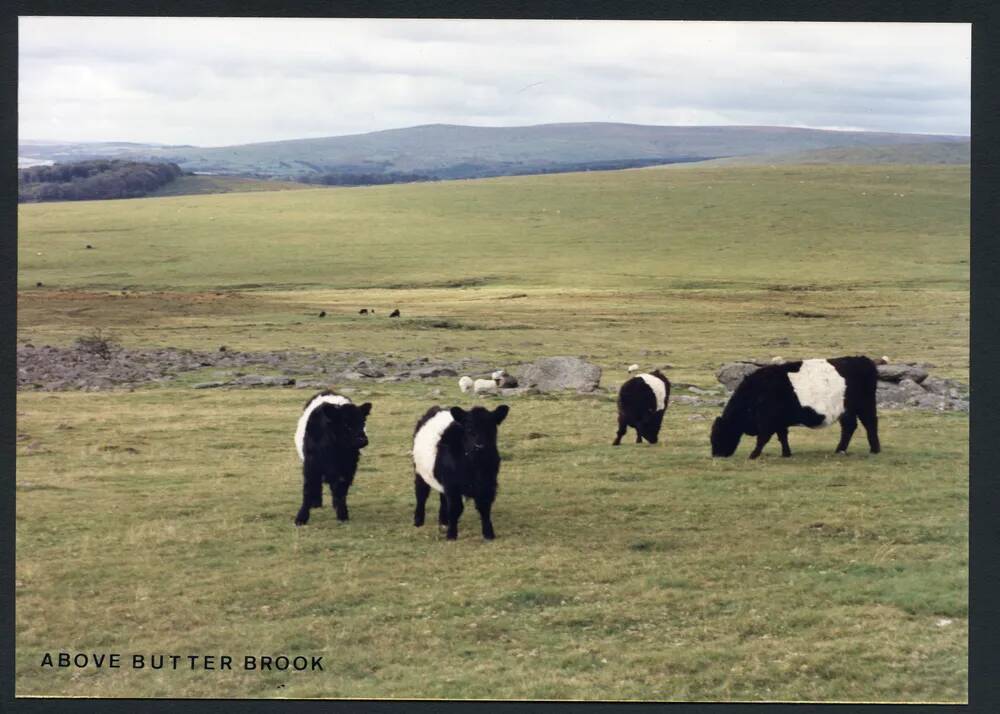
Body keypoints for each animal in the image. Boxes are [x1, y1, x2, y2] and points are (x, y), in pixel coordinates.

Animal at [296, 390, 376, 524]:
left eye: (363, 422)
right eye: (345, 424)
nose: (363, 440)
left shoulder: (348, 469)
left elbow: (341, 491)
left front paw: (342, 514)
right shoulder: (311, 466)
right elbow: (308, 490)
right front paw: (301, 518)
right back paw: (316, 504)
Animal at [412, 404, 508, 536]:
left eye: (491, 428)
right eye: (468, 429)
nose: (480, 446)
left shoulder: (488, 484)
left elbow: (484, 507)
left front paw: (489, 534)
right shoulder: (453, 485)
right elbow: (455, 508)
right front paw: (452, 535)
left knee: (442, 497)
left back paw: (443, 522)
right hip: (419, 472)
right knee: (421, 494)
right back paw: (418, 521)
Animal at [708, 354, 880, 458]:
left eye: (717, 434)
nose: (716, 454)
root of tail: (862, 359)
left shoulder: (767, 421)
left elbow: (763, 438)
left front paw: (753, 455)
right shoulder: (778, 421)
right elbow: (782, 436)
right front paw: (786, 453)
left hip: (865, 406)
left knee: (870, 424)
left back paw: (874, 450)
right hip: (846, 410)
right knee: (849, 427)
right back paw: (840, 450)